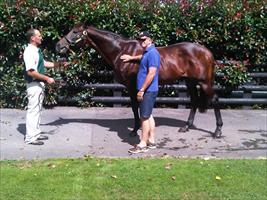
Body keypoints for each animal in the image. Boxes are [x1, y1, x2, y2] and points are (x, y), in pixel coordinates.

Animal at [56, 23, 224, 138]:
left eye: (75, 32)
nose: (58, 46)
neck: (121, 51)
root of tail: (207, 52)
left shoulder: (132, 86)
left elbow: (134, 107)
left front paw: (135, 130)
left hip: (204, 82)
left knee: (215, 99)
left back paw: (217, 131)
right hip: (190, 81)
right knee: (194, 101)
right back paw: (186, 127)